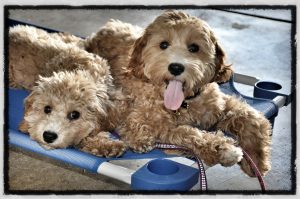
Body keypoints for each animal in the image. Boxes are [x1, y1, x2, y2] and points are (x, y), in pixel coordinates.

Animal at [85, 10, 274, 176]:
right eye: (163, 44)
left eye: (194, 47)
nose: (176, 67)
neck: (185, 103)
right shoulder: (149, 123)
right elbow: (187, 133)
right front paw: (223, 149)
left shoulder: (219, 104)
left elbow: (251, 117)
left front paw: (257, 161)